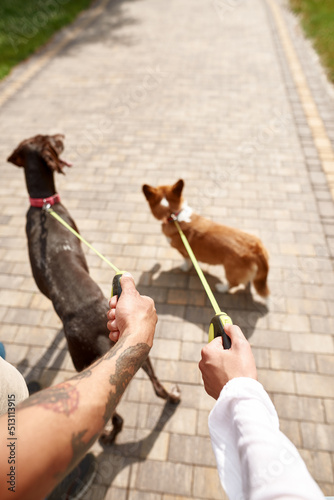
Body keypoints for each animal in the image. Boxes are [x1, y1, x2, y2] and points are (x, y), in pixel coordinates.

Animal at [142, 180, 270, 296]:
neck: (173, 215)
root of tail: (257, 249)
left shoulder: (183, 251)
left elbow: (186, 260)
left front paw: (184, 267)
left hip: (231, 270)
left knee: (234, 284)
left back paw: (222, 288)